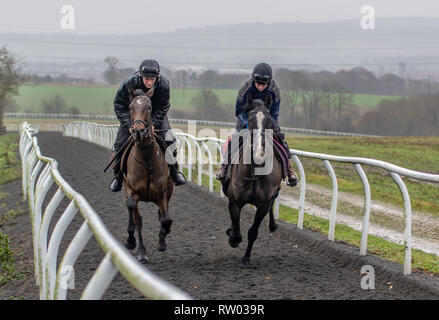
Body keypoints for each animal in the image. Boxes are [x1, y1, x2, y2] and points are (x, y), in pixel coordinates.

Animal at [122, 87, 175, 262]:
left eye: (149, 108)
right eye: (130, 107)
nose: (138, 131)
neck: (146, 160)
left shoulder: (163, 193)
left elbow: (165, 219)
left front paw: (162, 241)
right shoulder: (132, 191)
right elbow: (136, 217)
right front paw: (138, 249)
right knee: (133, 214)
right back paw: (133, 243)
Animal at [225, 93, 284, 264]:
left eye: (269, 119)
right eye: (250, 119)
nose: (260, 155)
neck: (255, 173)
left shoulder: (264, 204)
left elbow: (253, 232)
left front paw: (246, 258)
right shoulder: (234, 200)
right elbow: (237, 232)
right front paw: (232, 237)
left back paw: (273, 225)